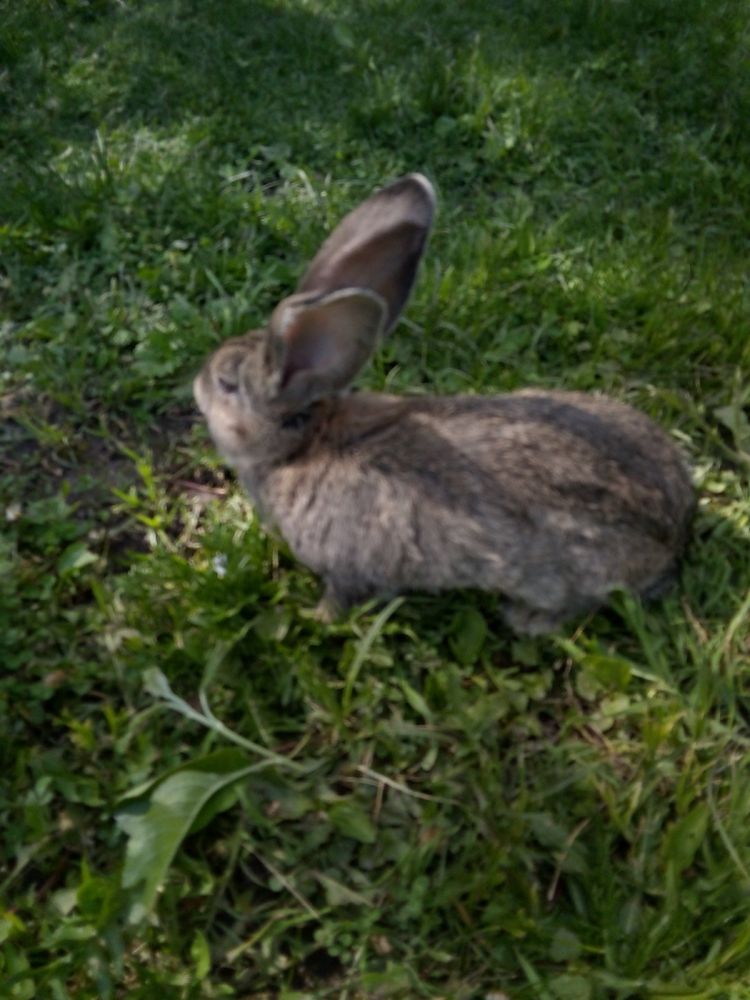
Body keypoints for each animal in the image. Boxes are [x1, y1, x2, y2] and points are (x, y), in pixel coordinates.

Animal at [192, 172, 692, 632]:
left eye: (226, 383)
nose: (197, 382)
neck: (301, 447)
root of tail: (676, 532)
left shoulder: (349, 570)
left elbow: (341, 599)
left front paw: (312, 617)